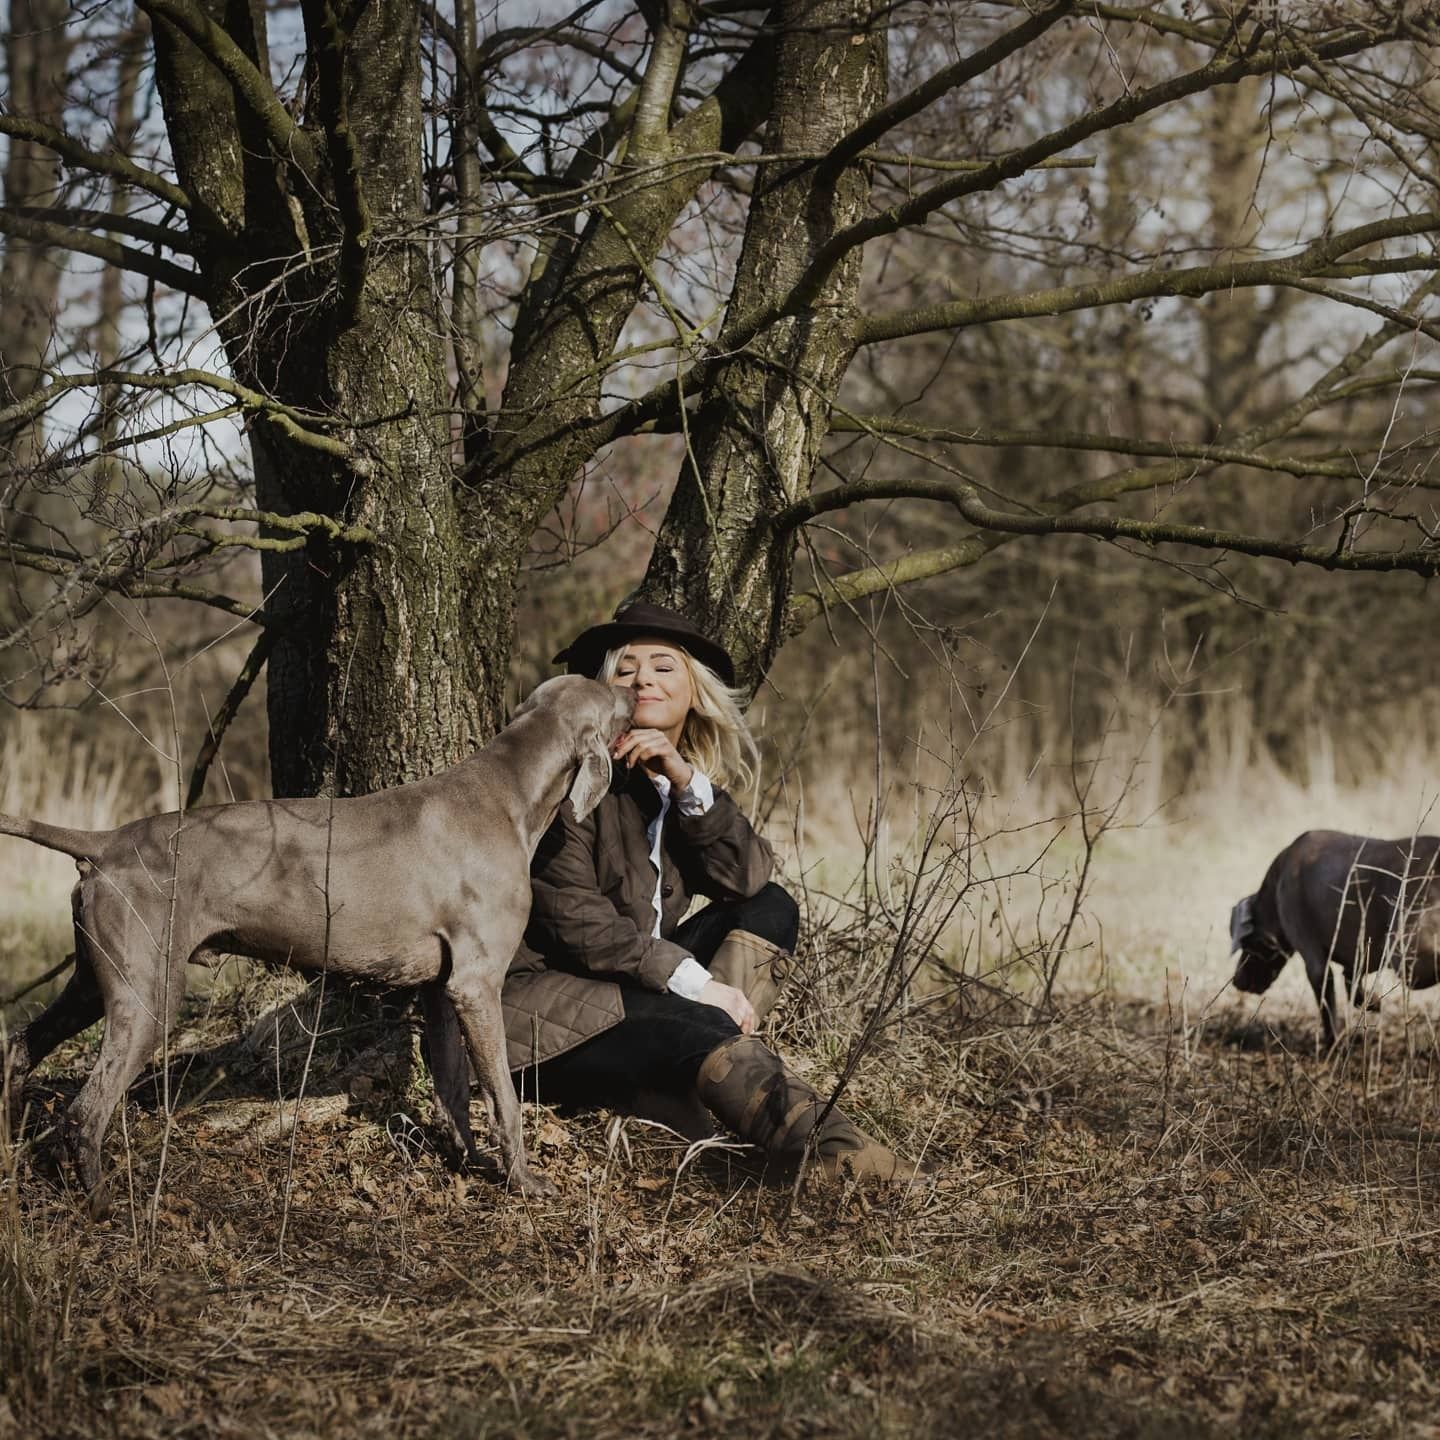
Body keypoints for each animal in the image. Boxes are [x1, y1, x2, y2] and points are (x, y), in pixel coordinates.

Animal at [0, 676, 633, 1215]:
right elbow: (502, 1094)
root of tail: (106, 843)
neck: (507, 789)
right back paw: (103, 1203)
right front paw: (521, 1181)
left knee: (20, 1046)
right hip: (150, 994)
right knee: (85, 1111)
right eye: (615, 699)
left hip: (96, 979)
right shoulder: (477, 985)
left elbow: (453, 1087)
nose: (633, 691)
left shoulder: (442, 990)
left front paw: (467, 1160)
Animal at [1226, 835, 1440, 1048]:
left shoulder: (1315, 959)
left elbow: (1327, 1004)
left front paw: (1334, 1044)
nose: (1236, 981)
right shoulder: (1363, 950)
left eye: (1246, 943)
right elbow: (1351, 979)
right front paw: (1371, 1002)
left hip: (1408, 957)